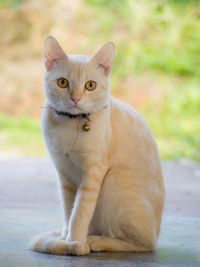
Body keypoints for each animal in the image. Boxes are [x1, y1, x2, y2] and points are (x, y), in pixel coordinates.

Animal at [29, 36, 164, 258]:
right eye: (63, 82)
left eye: (90, 85)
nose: (75, 98)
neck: (70, 126)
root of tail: (157, 231)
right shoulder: (64, 174)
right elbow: (68, 211)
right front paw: (65, 239)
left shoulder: (93, 174)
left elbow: (80, 212)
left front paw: (75, 241)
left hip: (114, 182)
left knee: (141, 244)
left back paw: (95, 241)